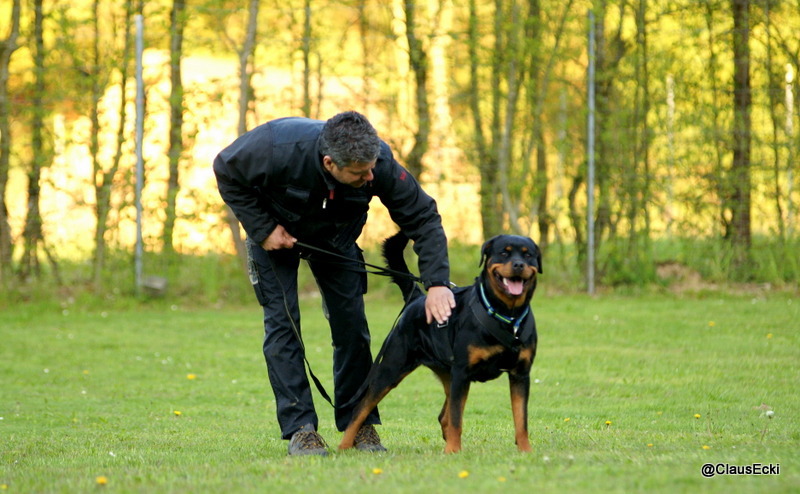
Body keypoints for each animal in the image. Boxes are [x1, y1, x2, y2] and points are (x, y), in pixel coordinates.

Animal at [339, 231, 542, 453]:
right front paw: (453, 450)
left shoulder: (520, 374)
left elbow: (521, 419)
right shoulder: (462, 372)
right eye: (504, 253)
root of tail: (416, 298)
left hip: (447, 374)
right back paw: (344, 446)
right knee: (361, 408)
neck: (506, 314)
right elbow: (457, 419)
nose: (518, 265)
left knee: (444, 416)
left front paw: (526, 451)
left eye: (528, 255)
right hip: (392, 368)